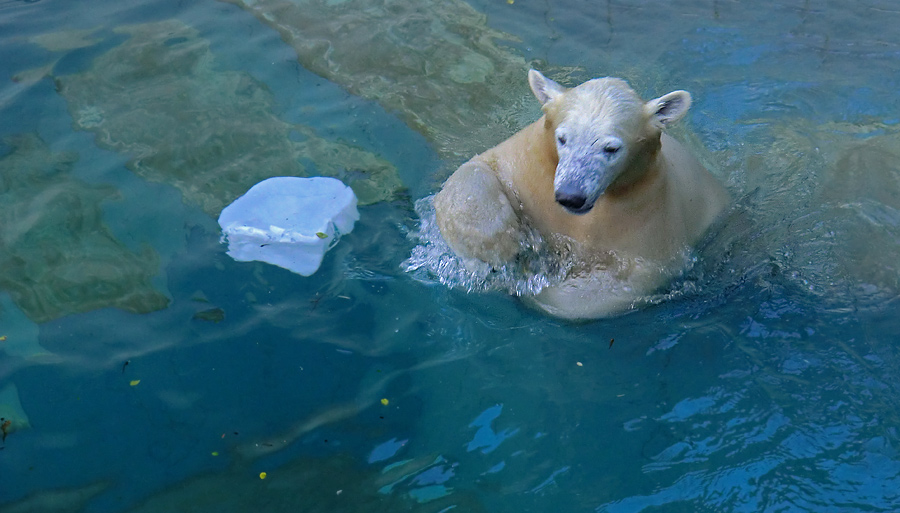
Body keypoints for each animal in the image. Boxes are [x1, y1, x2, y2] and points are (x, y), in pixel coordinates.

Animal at [432, 68, 728, 316]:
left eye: (611, 148)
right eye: (563, 138)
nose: (571, 196)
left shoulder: (647, 217)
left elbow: (616, 286)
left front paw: (532, 284)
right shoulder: (531, 165)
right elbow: (478, 170)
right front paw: (501, 248)